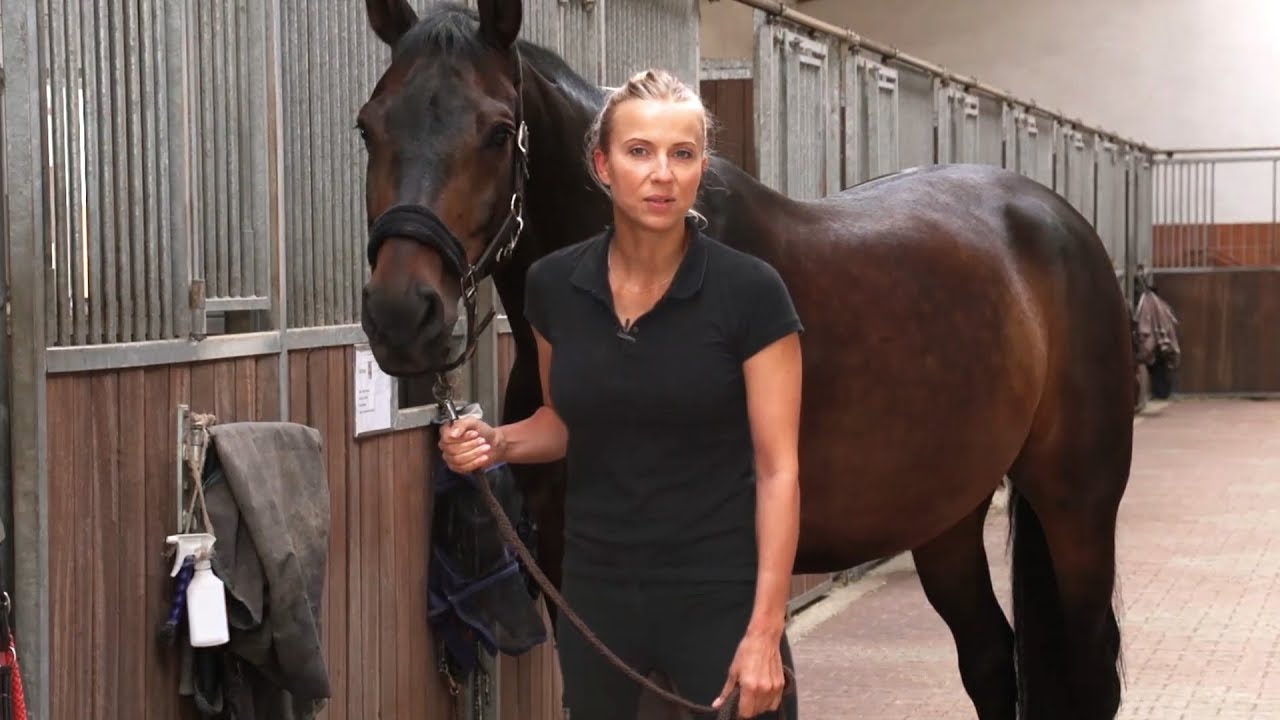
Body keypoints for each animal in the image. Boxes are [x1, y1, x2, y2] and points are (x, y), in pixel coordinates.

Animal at [355, 1, 1133, 718]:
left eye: (497, 131)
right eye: (368, 125)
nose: (401, 314)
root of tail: (1057, 219)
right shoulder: (576, 579)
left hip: (1078, 506)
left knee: (1089, 666)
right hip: (945, 515)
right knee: (990, 659)